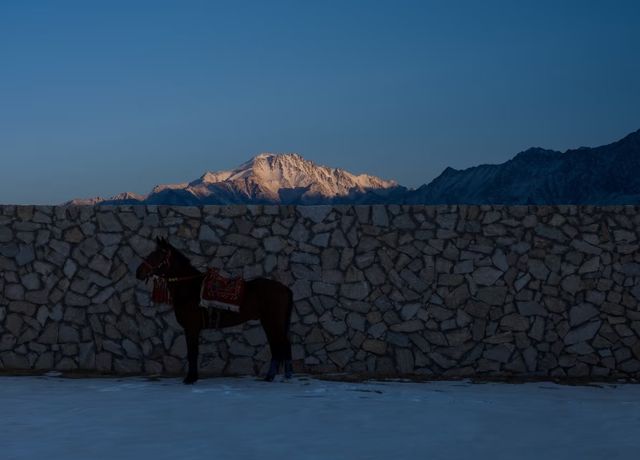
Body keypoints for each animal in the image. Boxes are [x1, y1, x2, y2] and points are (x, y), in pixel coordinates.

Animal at [137, 237, 296, 384]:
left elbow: (192, 352)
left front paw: (190, 379)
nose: (139, 272)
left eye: (157, 255)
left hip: (272, 322)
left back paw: (274, 377)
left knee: (280, 344)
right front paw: (193, 378)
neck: (190, 288)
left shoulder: (191, 328)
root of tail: (284, 288)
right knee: (280, 344)